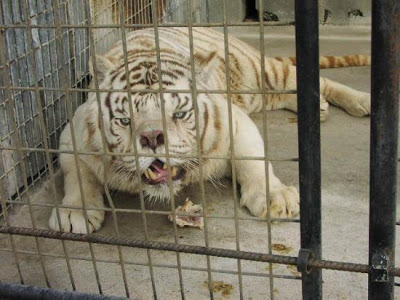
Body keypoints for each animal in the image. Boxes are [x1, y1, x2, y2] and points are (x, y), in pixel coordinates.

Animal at [48, 27, 370, 233]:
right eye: (126, 120)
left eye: (178, 114)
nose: (152, 137)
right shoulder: (71, 134)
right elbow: (77, 175)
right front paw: (75, 212)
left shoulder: (235, 121)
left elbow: (253, 160)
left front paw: (275, 198)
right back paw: (318, 106)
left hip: (263, 71)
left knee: (315, 80)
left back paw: (360, 101)